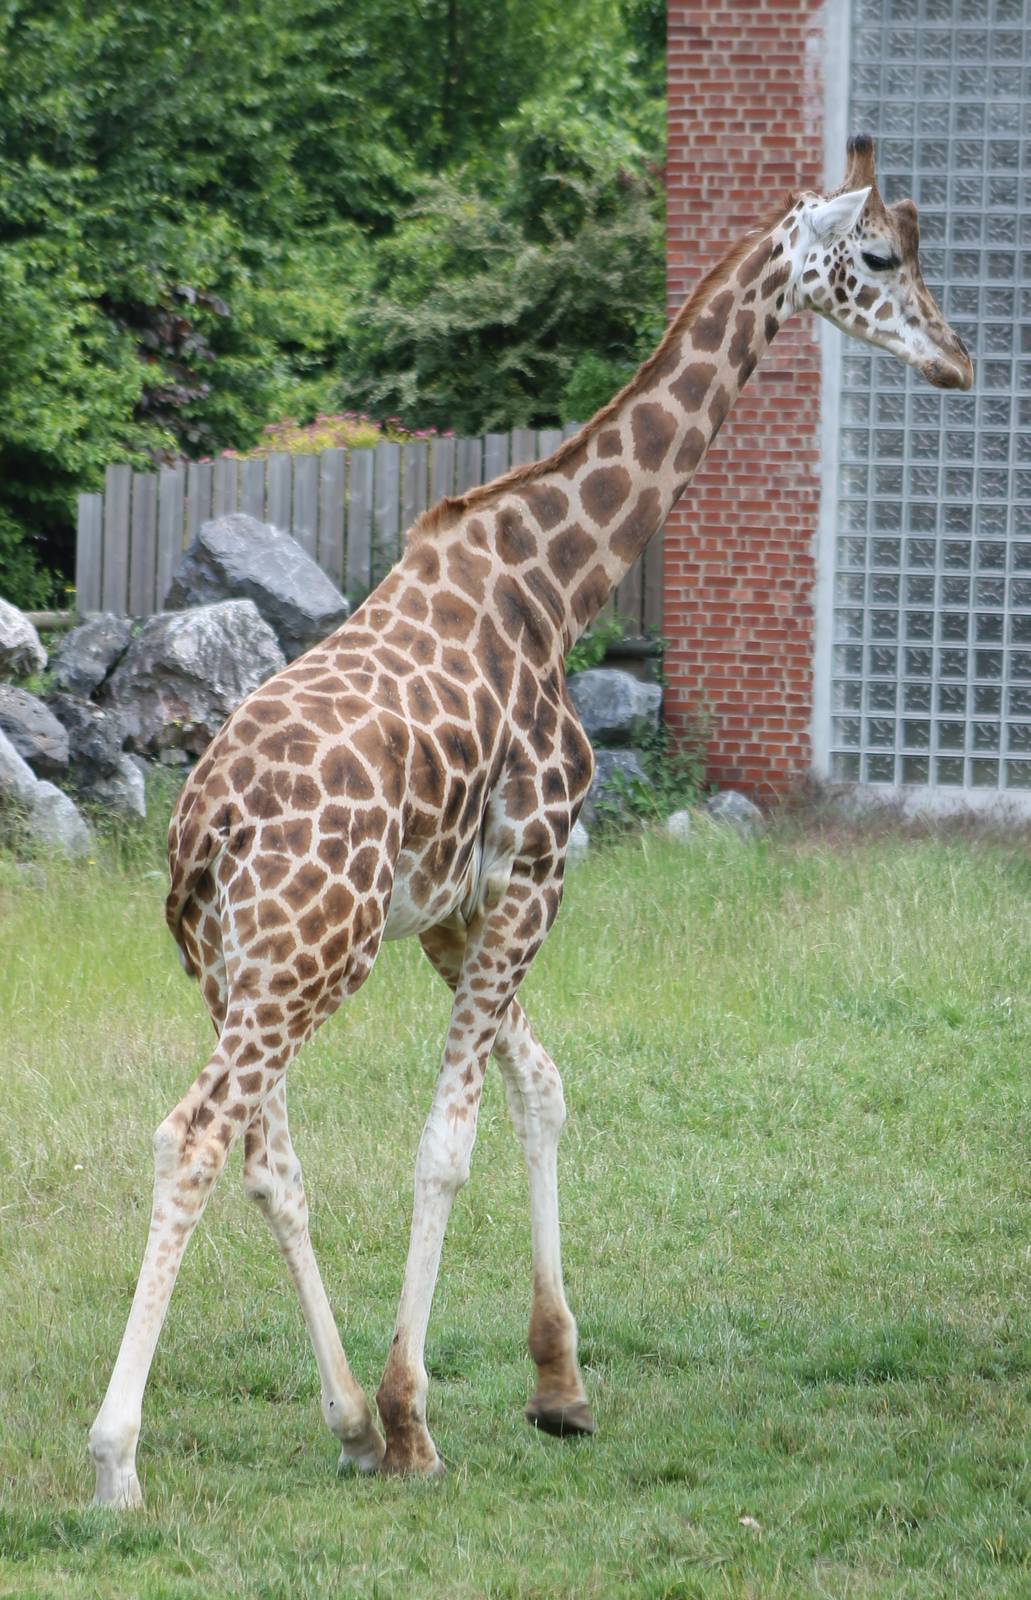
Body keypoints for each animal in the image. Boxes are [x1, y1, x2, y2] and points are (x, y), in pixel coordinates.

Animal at [89, 136, 972, 1506]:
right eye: (878, 256)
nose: (955, 359)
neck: (557, 587)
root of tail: (198, 832)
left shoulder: (458, 909)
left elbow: (540, 1085)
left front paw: (552, 1384)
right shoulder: (538, 869)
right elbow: (446, 1140)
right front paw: (418, 1418)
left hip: (236, 965)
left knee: (264, 1159)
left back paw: (340, 1420)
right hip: (305, 957)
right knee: (191, 1137)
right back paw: (120, 1459)